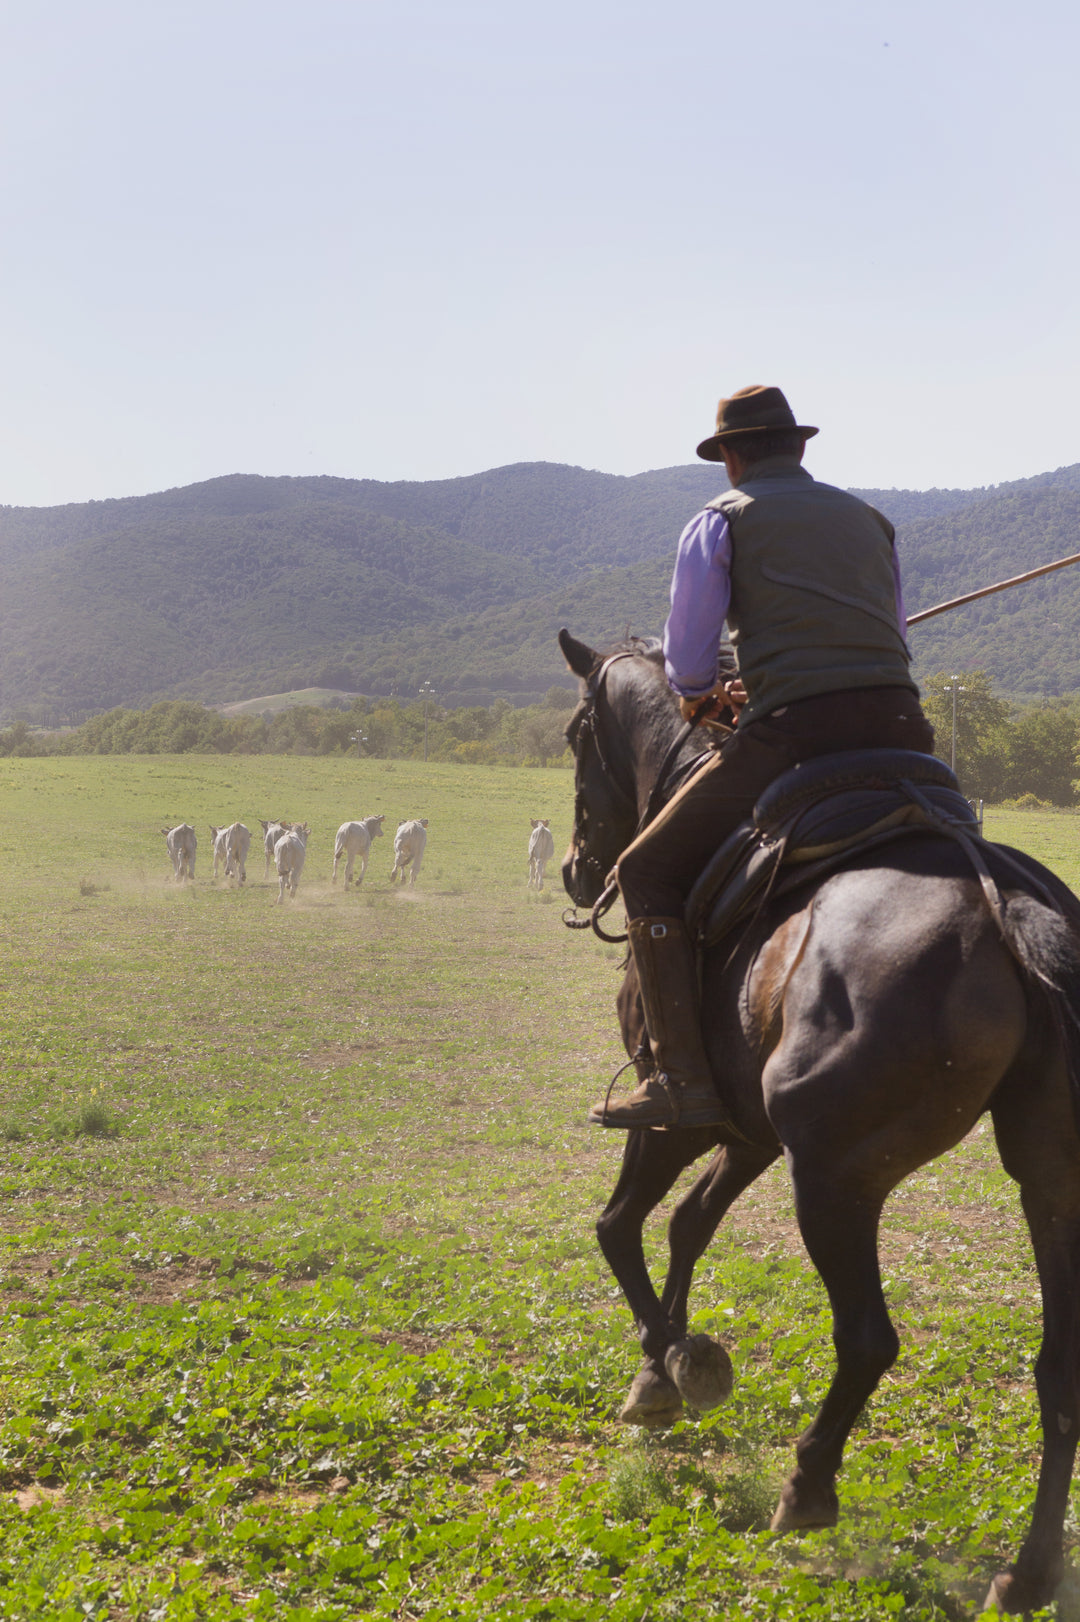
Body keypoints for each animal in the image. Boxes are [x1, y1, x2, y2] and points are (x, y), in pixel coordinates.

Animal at [557, 629, 1076, 1609]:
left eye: (574, 737)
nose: (576, 869)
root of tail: (1002, 903)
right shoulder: (749, 1132)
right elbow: (687, 1225)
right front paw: (669, 1365)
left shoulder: (674, 1111)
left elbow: (619, 1224)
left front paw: (671, 1368)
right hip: (1048, 1182)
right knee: (1061, 1368)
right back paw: (1026, 1576)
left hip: (837, 1177)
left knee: (868, 1338)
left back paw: (806, 1488)